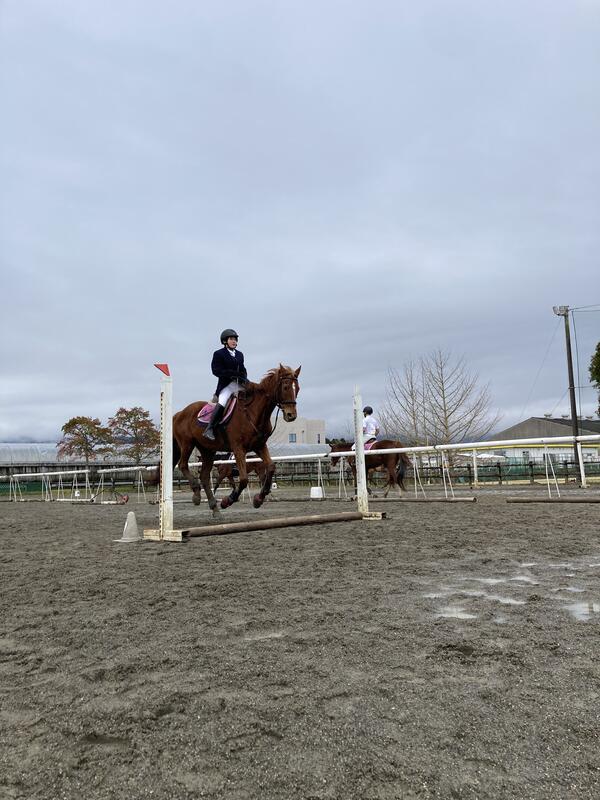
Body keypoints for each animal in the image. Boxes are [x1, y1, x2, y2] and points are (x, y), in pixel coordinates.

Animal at [172, 364, 300, 512]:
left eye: (297, 388)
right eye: (285, 387)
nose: (291, 415)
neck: (252, 413)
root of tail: (179, 413)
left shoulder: (260, 446)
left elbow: (271, 467)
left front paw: (259, 498)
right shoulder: (238, 448)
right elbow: (243, 479)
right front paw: (228, 501)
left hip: (207, 450)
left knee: (204, 476)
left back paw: (213, 506)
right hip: (187, 443)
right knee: (183, 465)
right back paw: (197, 493)